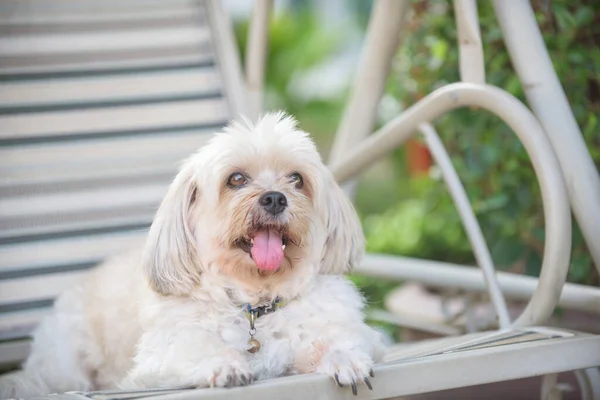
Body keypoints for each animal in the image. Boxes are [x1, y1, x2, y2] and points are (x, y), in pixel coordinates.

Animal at [0, 111, 384, 396]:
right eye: (236, 179)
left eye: (297, 179)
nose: (275, 198)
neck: (254, 305)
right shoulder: (154, 363)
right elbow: (195, 348)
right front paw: (224, 364)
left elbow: (341, 337)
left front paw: (343, 357)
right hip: (66, 365)